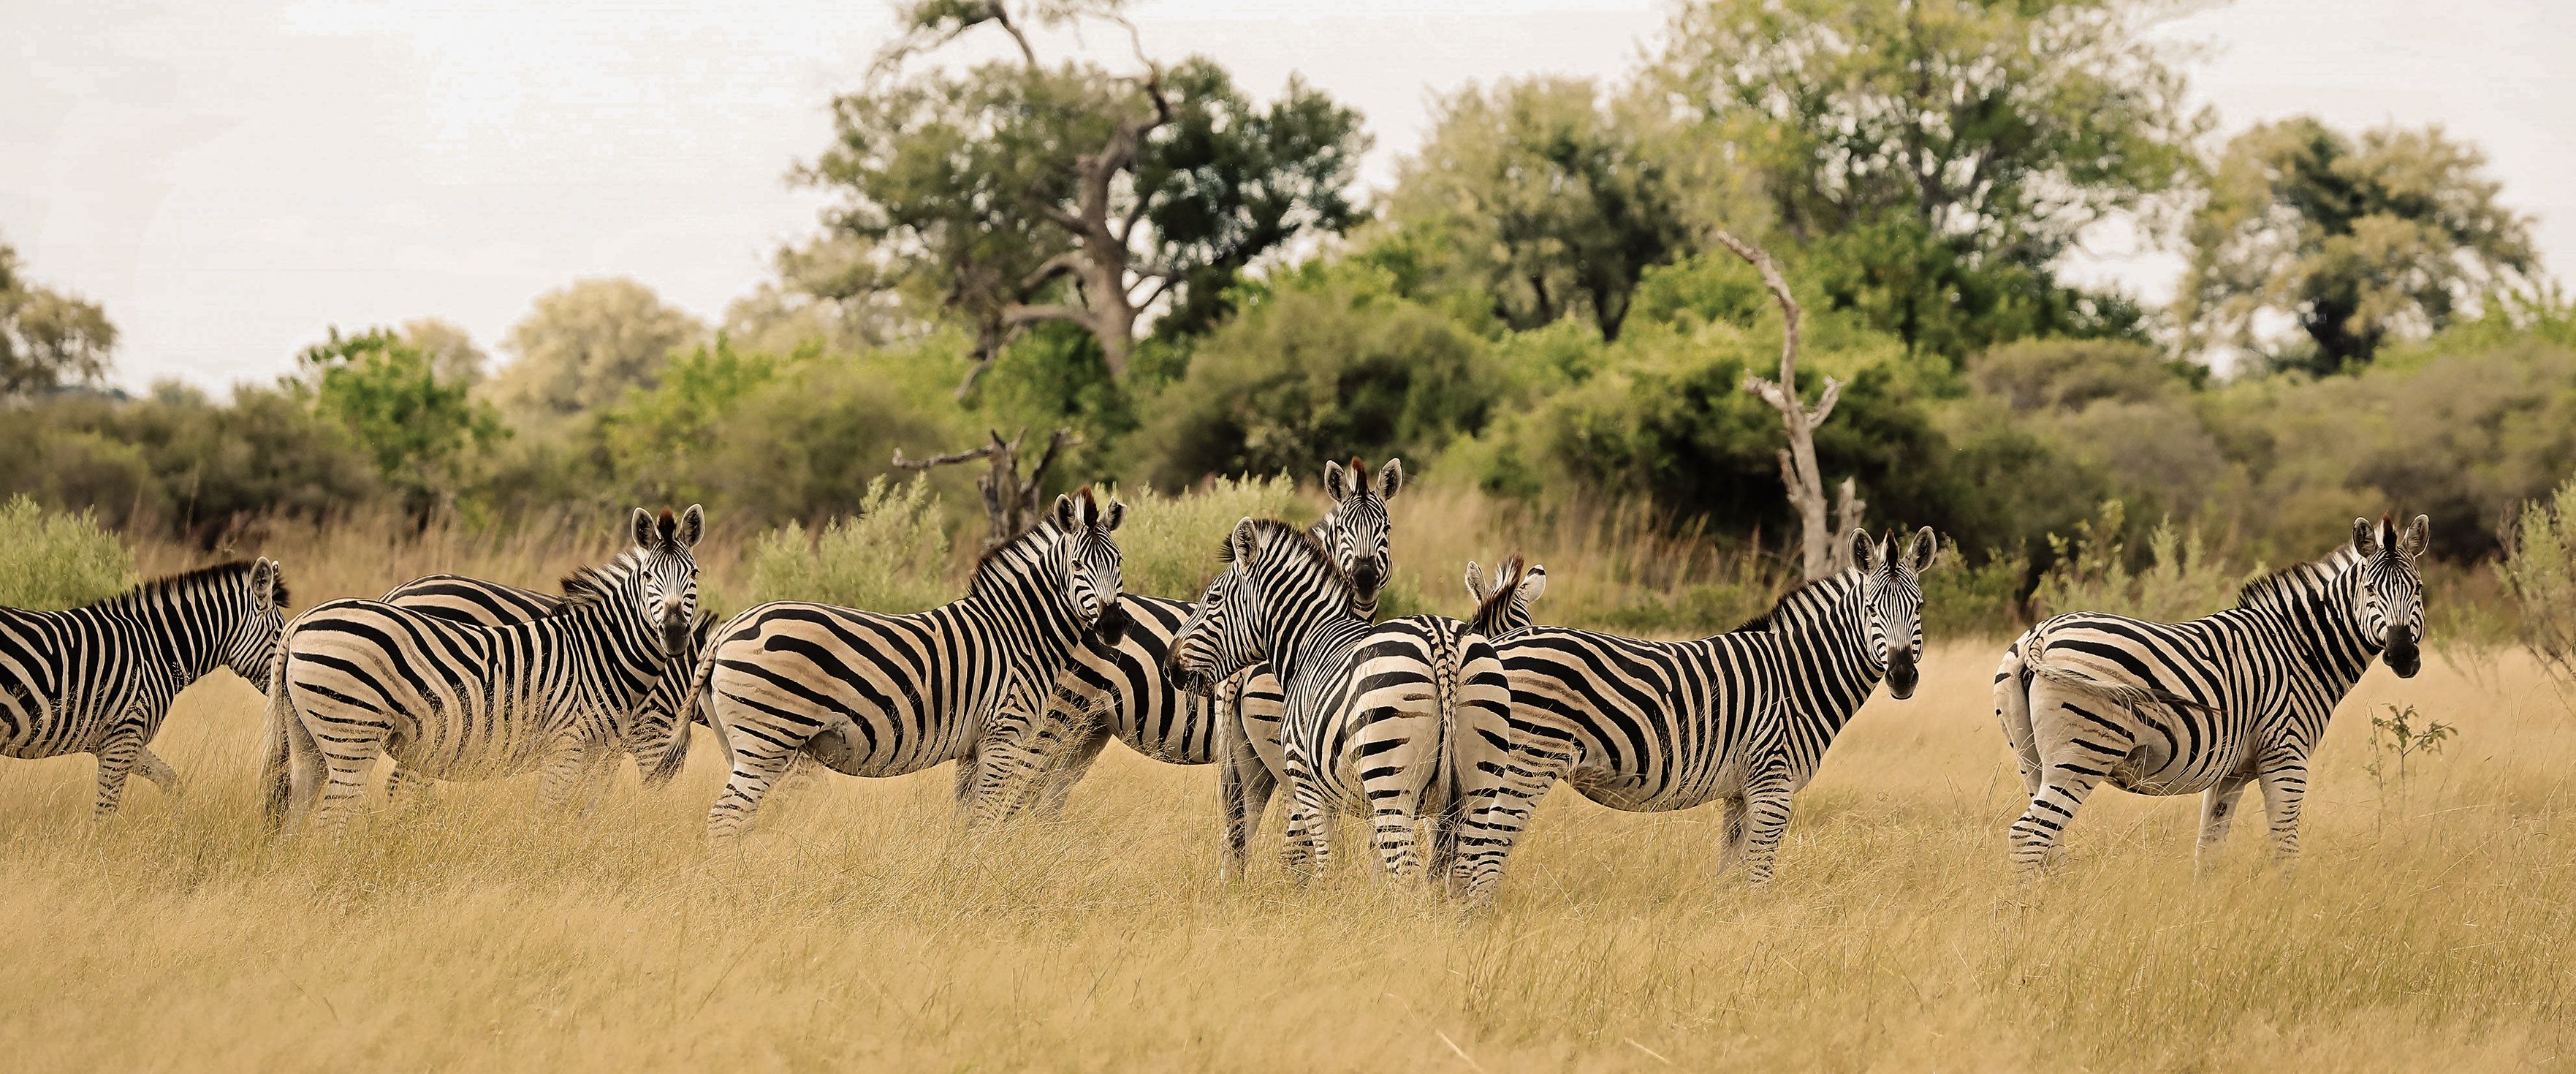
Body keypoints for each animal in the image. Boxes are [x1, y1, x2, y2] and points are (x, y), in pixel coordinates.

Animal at [0, 560, 287, 817]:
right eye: (278, 636)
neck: (154, 651)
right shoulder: (123, 738)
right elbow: (105, 812)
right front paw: (100, 845)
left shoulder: (120, 740)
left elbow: (171, 781)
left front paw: (177, 826)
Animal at [690, 490, 1128, 843]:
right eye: (1077, 566)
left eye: (1119, 563)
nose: (1113, 625)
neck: (1018, 632)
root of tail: (726, 630)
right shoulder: (1005, 733)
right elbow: (986, 818)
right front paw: (983, 874)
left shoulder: (975, 745)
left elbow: (966, 818)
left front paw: (959, 869)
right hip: (768, 737)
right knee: (725, 817)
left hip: (741, 743)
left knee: (738, 817)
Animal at [1166, 518, 1516, 897]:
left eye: (1213, 598)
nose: (1170, 665)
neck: (1308, 642)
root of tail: (1442, 640)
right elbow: (1372, 863)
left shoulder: (1306, 778)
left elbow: (1323, 858)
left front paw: (1322, 901)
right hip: (1479, 782)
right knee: (1468, 875)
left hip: (1391, 782)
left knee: (1406, 872)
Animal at [1462, 528, 1934, 891]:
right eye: (1871, 608)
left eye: (1920, 607)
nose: (1903, 676)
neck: (1797, 675)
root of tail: (1493, 643)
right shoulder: (1773, 783)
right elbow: (1759, 875)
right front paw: (1757, 931)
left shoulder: (1742, 792)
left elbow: (1731, 871)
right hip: (1527, 761)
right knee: (1484, 845)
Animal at [1993, 514, 2429, 872]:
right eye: (2370, 589)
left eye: (2419, 589)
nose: (2402, 654)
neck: (2300, 648)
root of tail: (2041, 634)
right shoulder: (2286, 754)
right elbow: (2285, 849)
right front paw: (2288, 910)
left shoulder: (2232, 773)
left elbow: (2210, 850)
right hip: (2084, 752)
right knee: (2030, 835)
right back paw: (2032, 913)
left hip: (2031, 757)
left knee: (2050, 839)